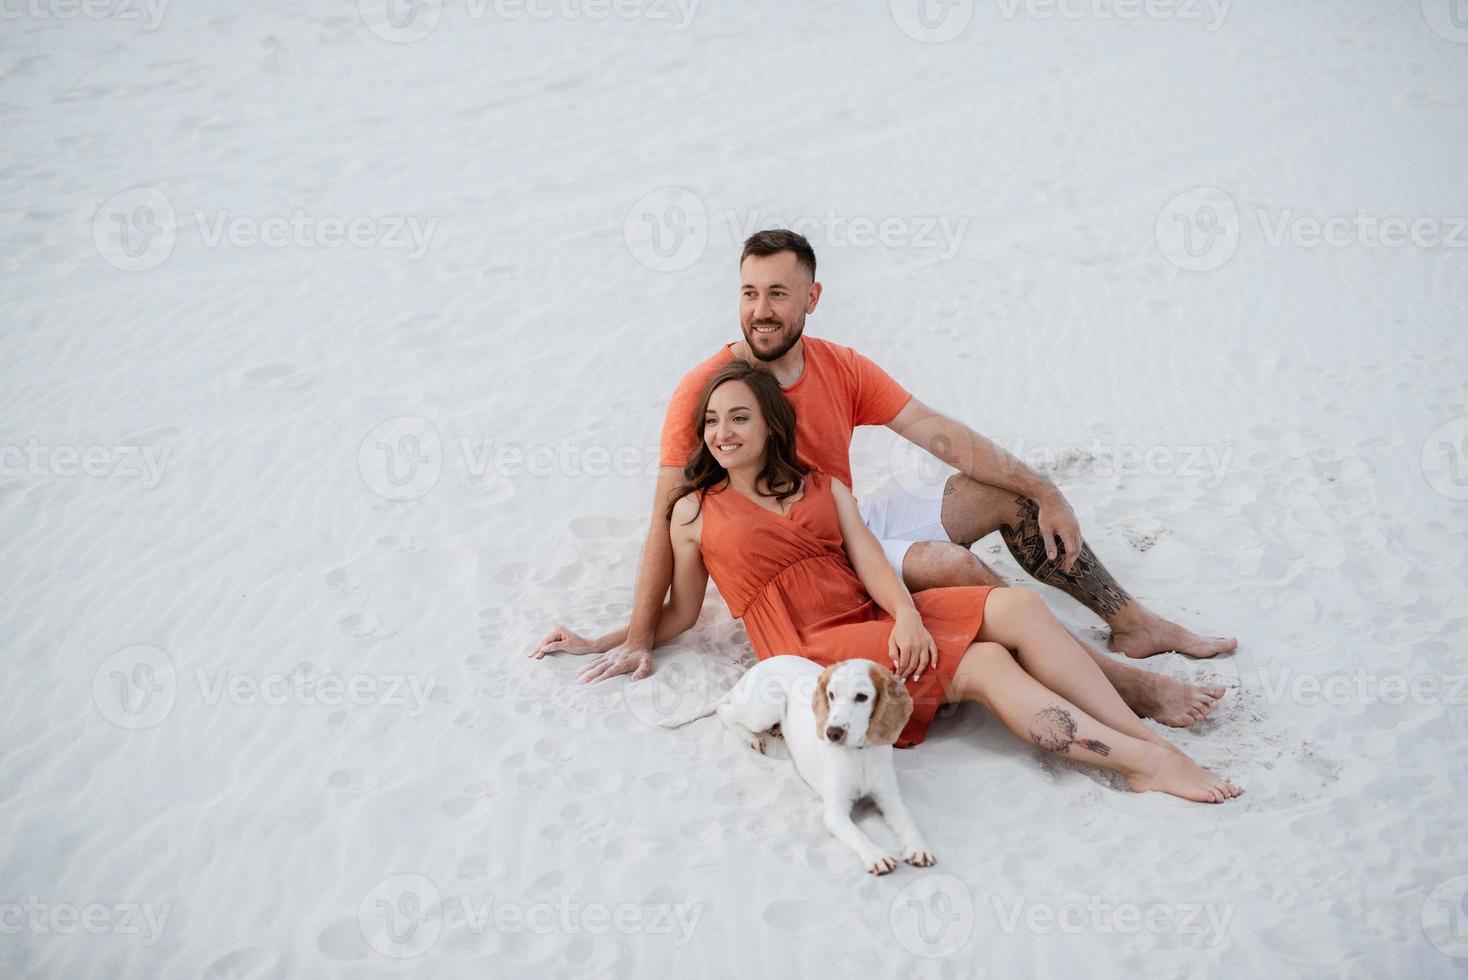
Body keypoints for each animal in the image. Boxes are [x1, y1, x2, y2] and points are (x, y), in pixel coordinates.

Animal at [660, 657, 933, 874]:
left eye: (862, 697)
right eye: (831, 695)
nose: (831, 733)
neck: (859, 754)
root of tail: (753, 669)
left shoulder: (890, 799)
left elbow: (908, 822)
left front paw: (918, 847)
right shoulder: (834, 812)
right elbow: (858, 834)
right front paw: (876, 855)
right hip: (763, 710)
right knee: (724, 712)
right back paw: (753, 738)